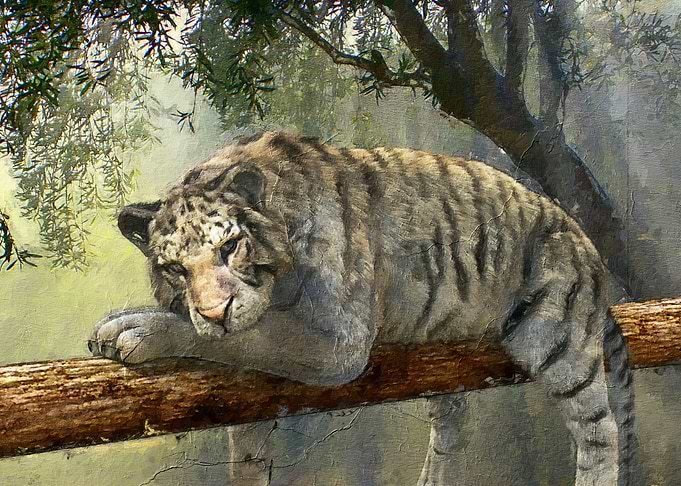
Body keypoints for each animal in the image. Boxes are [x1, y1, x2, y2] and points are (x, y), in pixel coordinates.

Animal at [88, 131, 634, 486]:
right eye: (175, 269)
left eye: (229, 247)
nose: (215, 312)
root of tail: (584, 242)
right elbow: (247, 452)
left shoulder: (337, 343)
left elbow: (251, 338)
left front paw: (133, 329)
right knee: (453, 426)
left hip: (559, 344)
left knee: (600, 432)